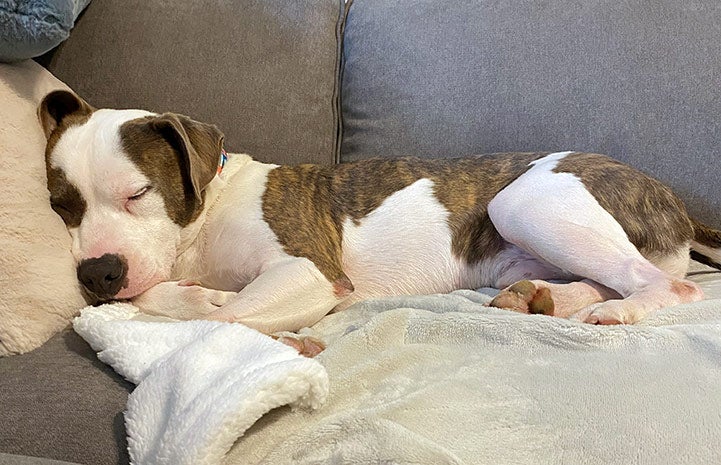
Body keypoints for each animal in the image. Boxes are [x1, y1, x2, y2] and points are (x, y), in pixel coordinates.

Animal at [38, 90, 720, 340]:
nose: (97, 273)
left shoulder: (309, 272)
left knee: (668, 285)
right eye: (61, 206)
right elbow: (173, 298)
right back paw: (545, 299)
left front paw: (216, 308)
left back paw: (617, 311)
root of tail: (673, 199)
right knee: (611, 276)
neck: (205, 218)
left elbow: (223, 315)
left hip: (523, 201)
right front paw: (188, 295)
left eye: (138, 193)